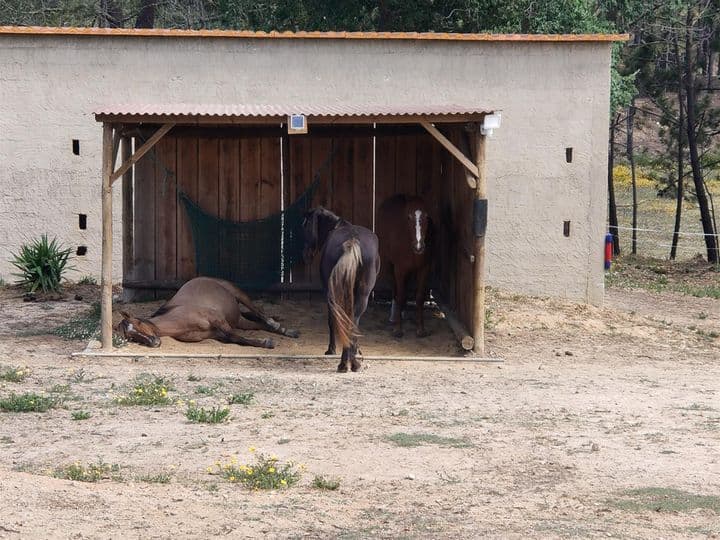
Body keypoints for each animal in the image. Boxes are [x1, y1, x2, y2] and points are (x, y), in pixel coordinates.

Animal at [118, 276, 298, 348]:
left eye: (138, 323)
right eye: (131, 337)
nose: (153, 342)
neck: (179, 318)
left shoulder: (217, 320)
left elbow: (235, 335)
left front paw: (266, 342)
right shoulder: (216, 334)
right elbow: (235, 338)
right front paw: (266, 342)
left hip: (237, 293)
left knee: (259, 311)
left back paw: (278, 325)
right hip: (239, 320)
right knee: (256, 322)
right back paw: (285, 330)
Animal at [302, 207, 382, 372]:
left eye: (305, 226)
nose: (305, 255)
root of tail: (352, 241)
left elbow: (332, 320)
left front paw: (331, 349)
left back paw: (346, 362)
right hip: (362, 295)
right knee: (353, 320)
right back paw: (350, 362)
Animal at [376, 194, 434, 338]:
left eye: (426, 216)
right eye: (408, 217)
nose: (419, 247)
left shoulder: (424, 269)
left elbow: (419, 297)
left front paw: (421, 329)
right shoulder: (399, 270)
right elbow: (400, 295)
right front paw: (398, 329)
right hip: (389, 264)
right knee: (394, 288)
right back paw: (394, 316)